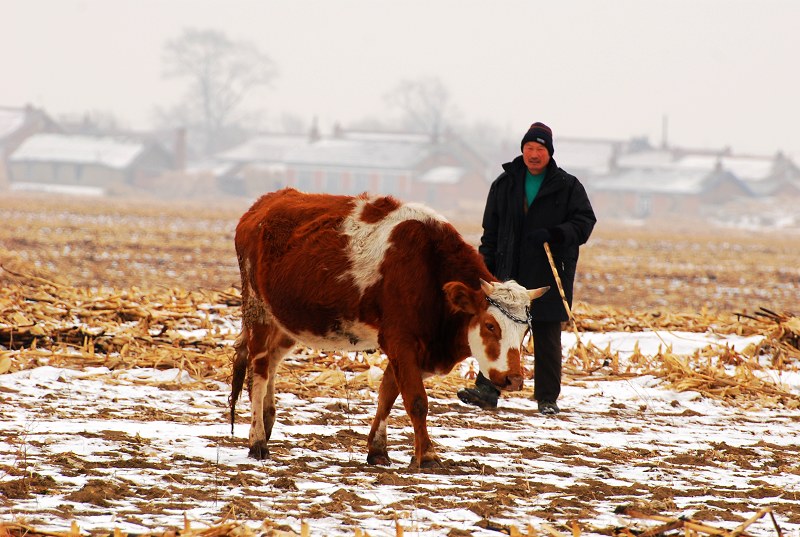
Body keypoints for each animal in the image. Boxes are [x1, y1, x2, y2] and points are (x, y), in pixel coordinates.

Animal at [228, 191, 548, 466]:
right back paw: (257, 441)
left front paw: (378, 450)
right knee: (259, 372)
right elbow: (416, 400)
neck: (429, 271)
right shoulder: (400, 340)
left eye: (525, 333)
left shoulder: (413, 348)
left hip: (286, 322)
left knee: (271, 363)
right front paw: (427, 455)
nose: (514, 379)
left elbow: (388, 394)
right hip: (257, 312)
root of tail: (260, 207)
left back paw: (267, 421)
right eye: (491, 325)